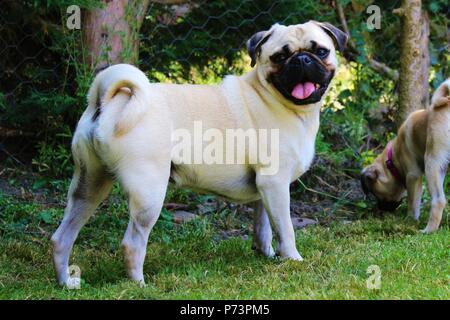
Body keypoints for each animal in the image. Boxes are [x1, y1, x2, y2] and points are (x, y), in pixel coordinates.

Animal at [51, 20, 348, 284]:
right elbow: (285, 228)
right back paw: (139, 285)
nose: (303, 60)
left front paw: (266, 255)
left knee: (62, 237)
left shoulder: (265, 190)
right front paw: (292, 260)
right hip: (149, 194)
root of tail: (106, 101)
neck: (278, 99)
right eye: (281, 57)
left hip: (89, 185)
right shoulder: (275, 183)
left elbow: (263, 226)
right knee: (132, 243)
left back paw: (67, 282)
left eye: (321, 51)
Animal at [362, 77, 450, 232]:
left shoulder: (412, 176)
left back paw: (429, 230)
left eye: (376, 193)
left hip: (432, 164)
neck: (393, 158)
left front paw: (410, 220)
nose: (381, 209)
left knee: (438, 200)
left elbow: (413, 202)